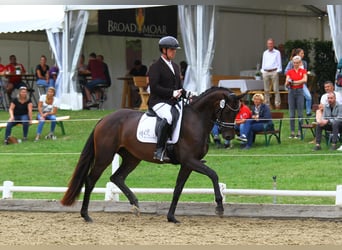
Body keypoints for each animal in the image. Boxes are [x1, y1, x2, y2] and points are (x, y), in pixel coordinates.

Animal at [60, 87, 243, 223]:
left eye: (236, 112)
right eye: (227, 110)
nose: (228, 136)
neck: (196, 119)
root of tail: (104, 119)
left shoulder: (188, 164)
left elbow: (178, 188)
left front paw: (171, 217)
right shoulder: (190, 160)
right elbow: (213, 174)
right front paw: (219, 206)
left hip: (132, 158)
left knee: (117, 177)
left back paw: (135, 204)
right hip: (105, 156)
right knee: (91, 180)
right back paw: (86, 215)